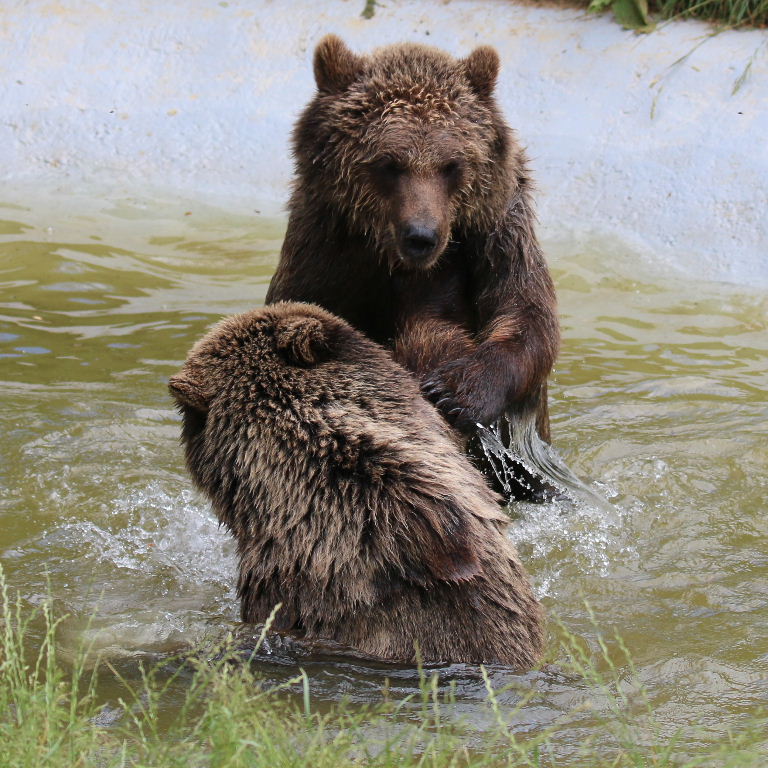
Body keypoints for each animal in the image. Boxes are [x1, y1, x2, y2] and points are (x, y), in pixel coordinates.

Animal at [268, 36, 560, 504]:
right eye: (389, 163)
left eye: (452, 165)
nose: (422, 235)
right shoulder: (325, 253)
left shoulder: (497, 236)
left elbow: (527, 318)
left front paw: (456, 390)